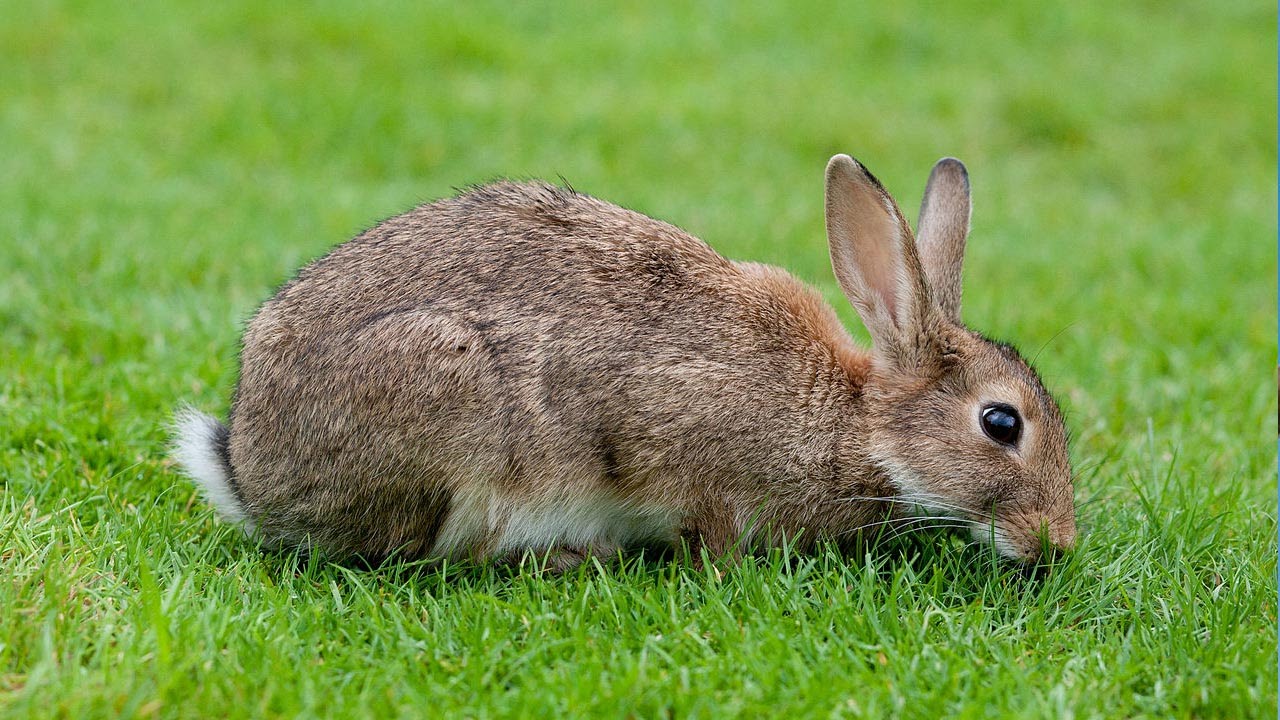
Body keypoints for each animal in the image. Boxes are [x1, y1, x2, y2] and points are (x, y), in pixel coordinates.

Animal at [172, 154, 1076, 569]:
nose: (1058, 542)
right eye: (1001, 423)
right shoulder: (679, 440)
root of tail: (247, 470)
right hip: (448, 410)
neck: (857, 423)